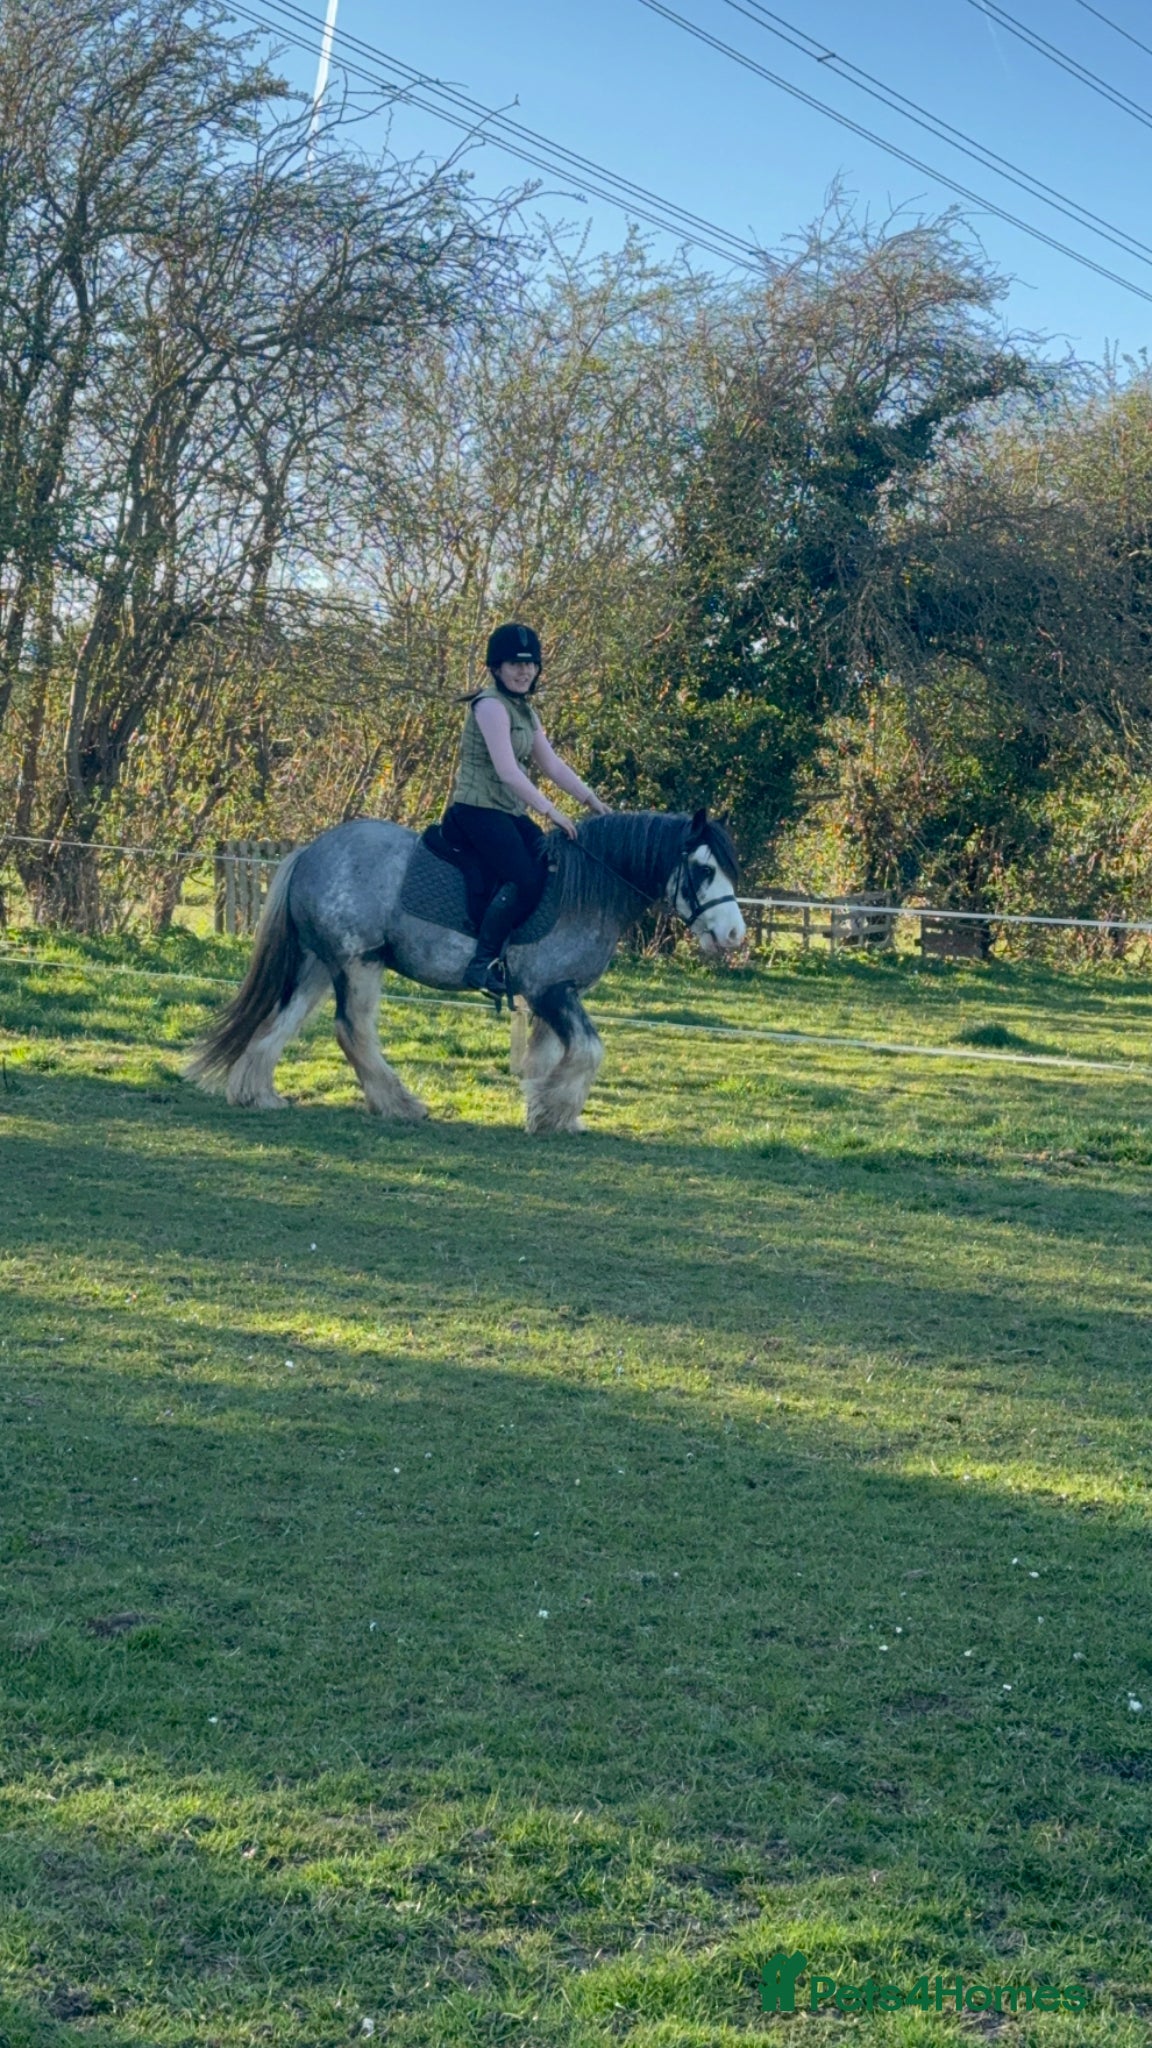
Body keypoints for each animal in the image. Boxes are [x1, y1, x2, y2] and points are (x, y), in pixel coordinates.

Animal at [187, 808, 745, 1134]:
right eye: (703, 869)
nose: (734, 935)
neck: (584, 891)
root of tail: (310, 851)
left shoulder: (549, 999)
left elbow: (547, 1061)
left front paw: (545, 1111)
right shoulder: (551, 992)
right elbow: (589, 1051)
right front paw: (555, 1112)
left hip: (319, 966)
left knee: (282, 1023)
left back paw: (257, 1094)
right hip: (357, 964)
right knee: (352, 1031)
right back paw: (400, 1105)